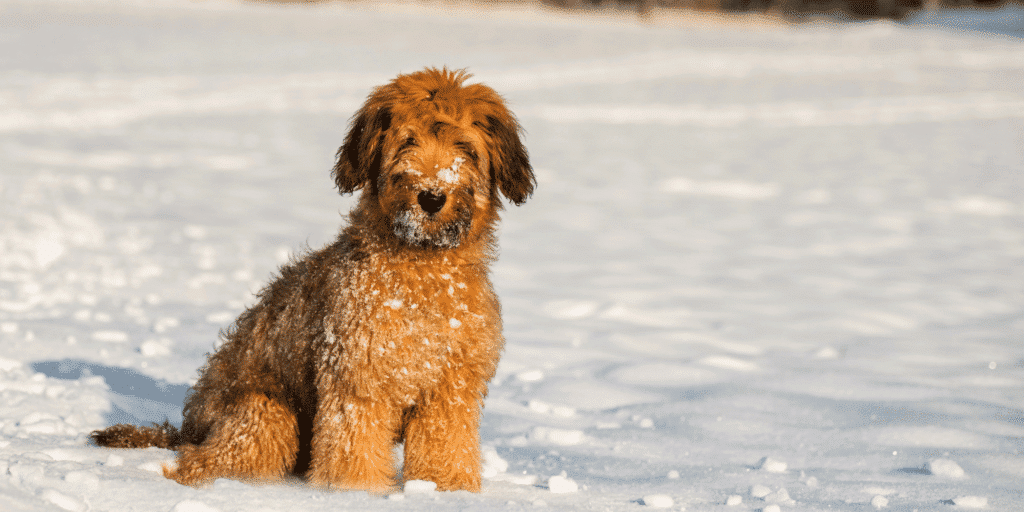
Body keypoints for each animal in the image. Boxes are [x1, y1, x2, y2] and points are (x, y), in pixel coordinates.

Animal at [92, 67, 536, 491]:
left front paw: (445, 490)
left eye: (465, 148)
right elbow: (353, 447)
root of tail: (189, 428)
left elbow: (446, 444)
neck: (421, 274)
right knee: (204, 460)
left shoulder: (450, 388)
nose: (431, 197)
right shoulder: (356, 375)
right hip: (267, 413)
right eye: (407, 142)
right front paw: (356, 494)